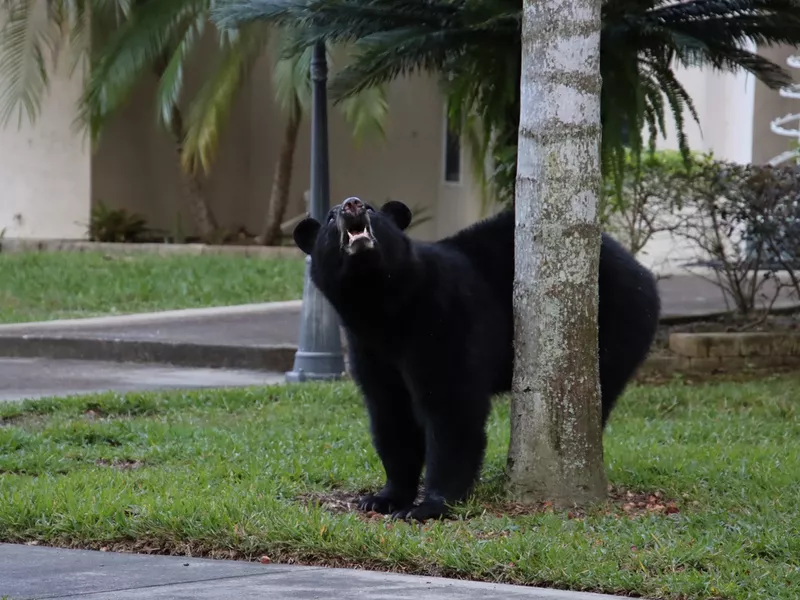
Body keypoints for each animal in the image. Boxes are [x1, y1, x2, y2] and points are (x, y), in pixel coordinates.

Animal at [290, 197, 660, 520]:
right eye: (330, 217)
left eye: (370, 208)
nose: (351, 204)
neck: (382, 303)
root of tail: (642, 271)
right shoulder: (368, 347)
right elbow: (390, 412)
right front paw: (383, 497)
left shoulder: (444, 317)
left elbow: (451, 406)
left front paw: (428, 506)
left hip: (616, 321)